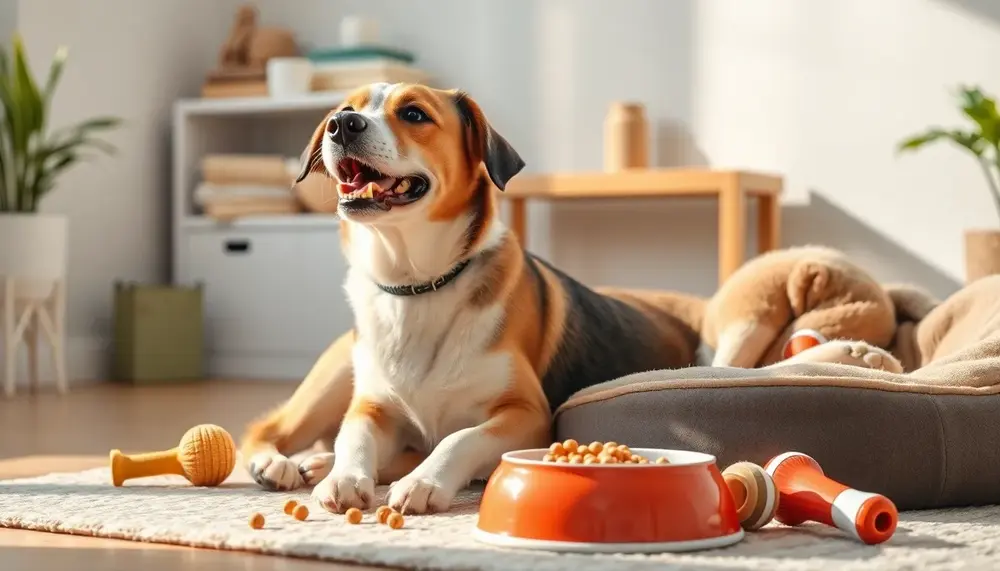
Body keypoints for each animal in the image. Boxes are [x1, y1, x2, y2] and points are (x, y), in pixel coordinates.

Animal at [235, 82, 708, 516]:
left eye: (413, 113)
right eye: (347, 108)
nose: (341, 124)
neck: (418, 287)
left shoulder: (528, 413)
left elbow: (458, 437)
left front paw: (423, 482)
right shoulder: (370, 404)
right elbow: (354, 436)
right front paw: (345, 477)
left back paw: (320, 463)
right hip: (332, 380)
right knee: (264, 428)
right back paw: (278, 463)